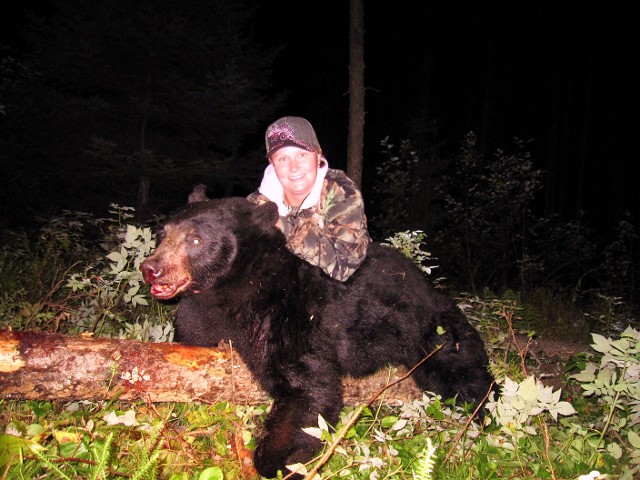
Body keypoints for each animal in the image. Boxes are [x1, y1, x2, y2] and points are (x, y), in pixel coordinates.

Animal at [140, 197, 494, 479]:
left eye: (196, 239)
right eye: (162, 234)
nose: (151, 268)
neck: (232, 291)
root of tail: (433, 290)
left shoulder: (290, 315)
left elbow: (310, 387)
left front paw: (281, 460)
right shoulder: (200, 318)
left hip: (430, 330)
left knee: (462, 375)